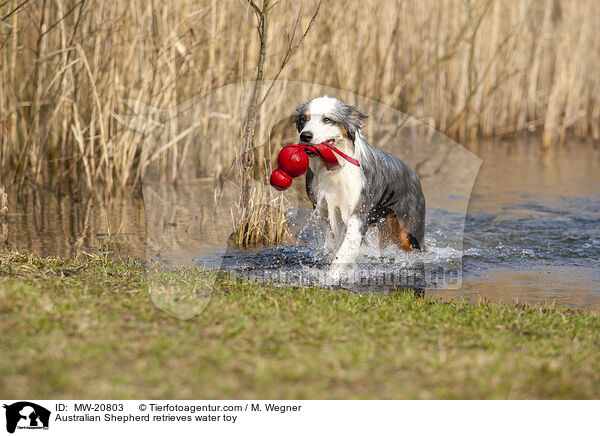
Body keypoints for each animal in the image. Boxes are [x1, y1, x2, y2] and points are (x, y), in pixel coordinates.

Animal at [292, 96, 424, 282]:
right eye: (304, 119)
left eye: (327, 119)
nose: (305, 135)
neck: (335, 168)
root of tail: (414, 175)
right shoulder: (322, 208)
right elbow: (332, 245)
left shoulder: (358, 212)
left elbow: (344, 252)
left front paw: (329, 278)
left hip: (409, 231)